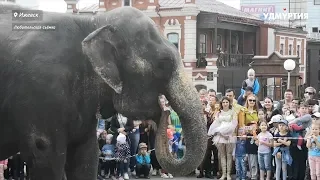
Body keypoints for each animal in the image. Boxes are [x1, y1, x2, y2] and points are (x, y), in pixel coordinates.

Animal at [0, 3, 208, 180]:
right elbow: (44, 152)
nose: (164, 110)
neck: (92, 23)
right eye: (163, 64)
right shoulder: (42, 89)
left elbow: (86, 155)